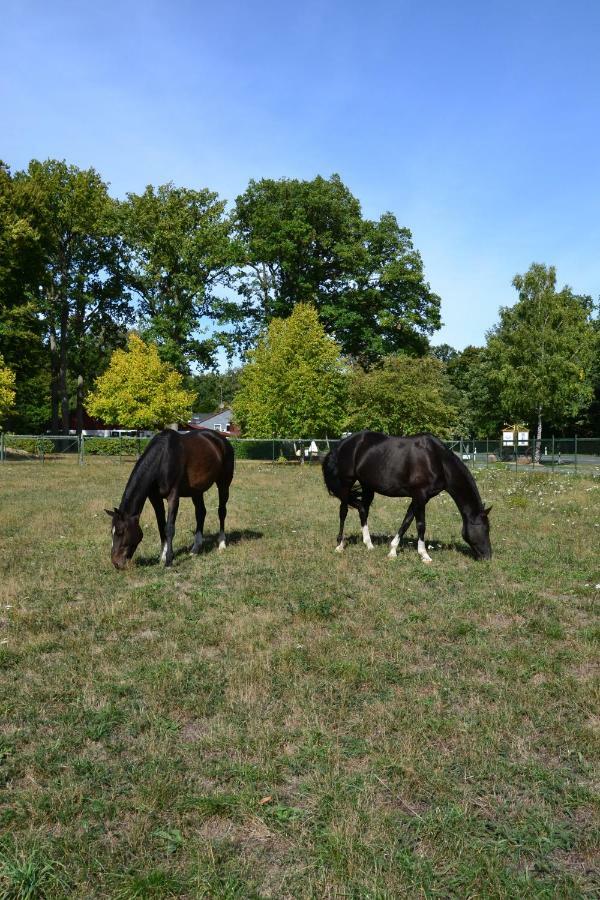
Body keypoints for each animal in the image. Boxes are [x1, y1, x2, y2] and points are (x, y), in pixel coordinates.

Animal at [105, 428, 234, 568]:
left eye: (121, 532)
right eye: (111, 532)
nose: (116, 562)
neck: (162, 459)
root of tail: (222, 440)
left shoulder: (173, 497)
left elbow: (169, 528)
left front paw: (169, 561)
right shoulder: (155, 498)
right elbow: (161, 526)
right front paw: (162, 556)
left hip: (223, 483)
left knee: (221, 511)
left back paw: (222, 543)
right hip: (197, 491)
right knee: (200, 513)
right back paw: (195, 549)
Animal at [322, 430, 490, 564]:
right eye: (486, 529)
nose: (488, 556)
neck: (437, 459)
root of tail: (341, 444)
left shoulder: (419, 498)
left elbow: (407, 521)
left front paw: (392, 551)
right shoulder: (420, 495)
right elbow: (420, 525)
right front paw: (424, 555)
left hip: (367, 486)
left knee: (363, 510)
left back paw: (369, 545)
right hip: (346, 484)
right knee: (343, 511)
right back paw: (339, 545)